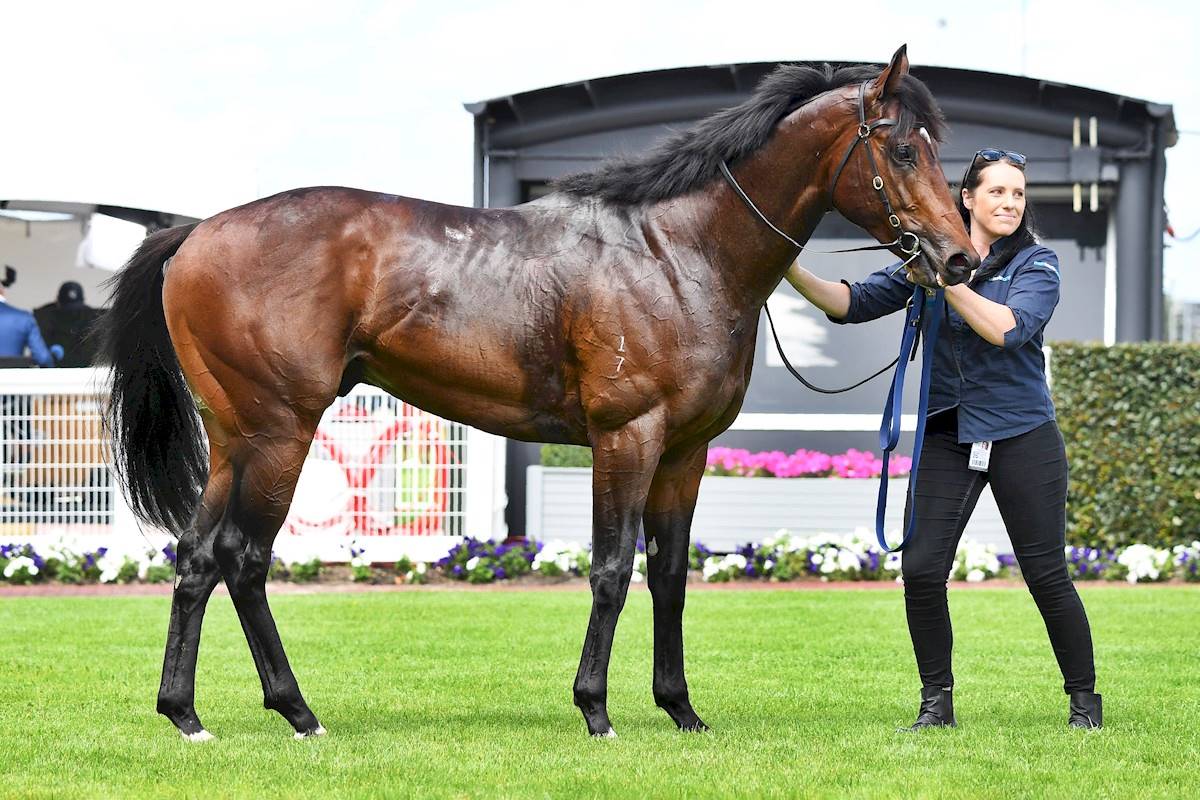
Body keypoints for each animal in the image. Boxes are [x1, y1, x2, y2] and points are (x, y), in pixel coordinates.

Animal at [93, 47, 974, 743]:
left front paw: (680, 709)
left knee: (198, 556)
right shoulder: (628, 435)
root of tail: (197, 232)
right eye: (902, 150)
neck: (676, 251)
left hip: (235, 438)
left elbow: (670, 574)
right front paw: (597, 709)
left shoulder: (685, 452)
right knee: (243, 559)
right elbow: (613, 570)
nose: (959, 258)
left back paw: (186, 714)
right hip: (281, 432)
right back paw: (297, 712)